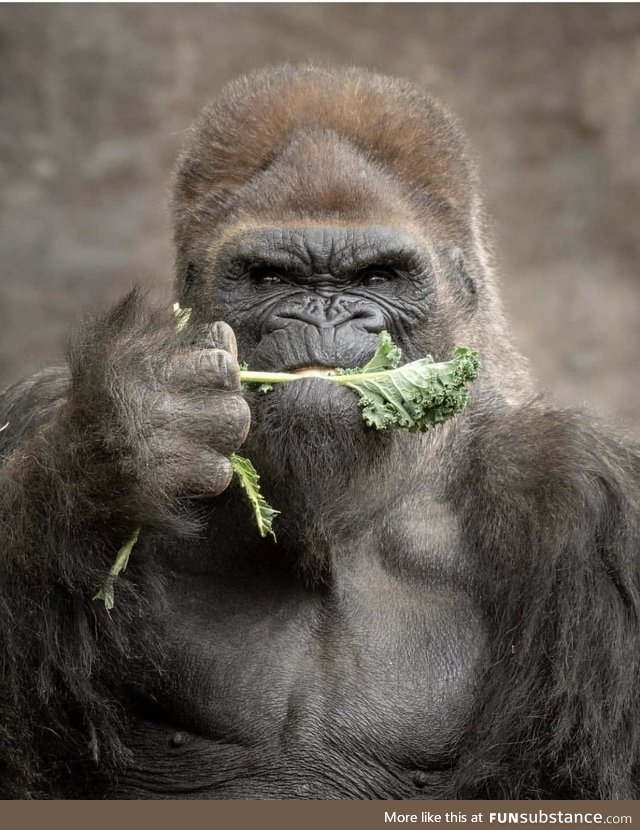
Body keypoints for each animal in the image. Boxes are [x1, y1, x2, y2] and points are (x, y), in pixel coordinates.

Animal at [1, 61, 640, 804]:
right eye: (271, 276)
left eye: (377, 275)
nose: (323, 311)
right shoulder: (33, 411)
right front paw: (119, 444)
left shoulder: (579, 493)